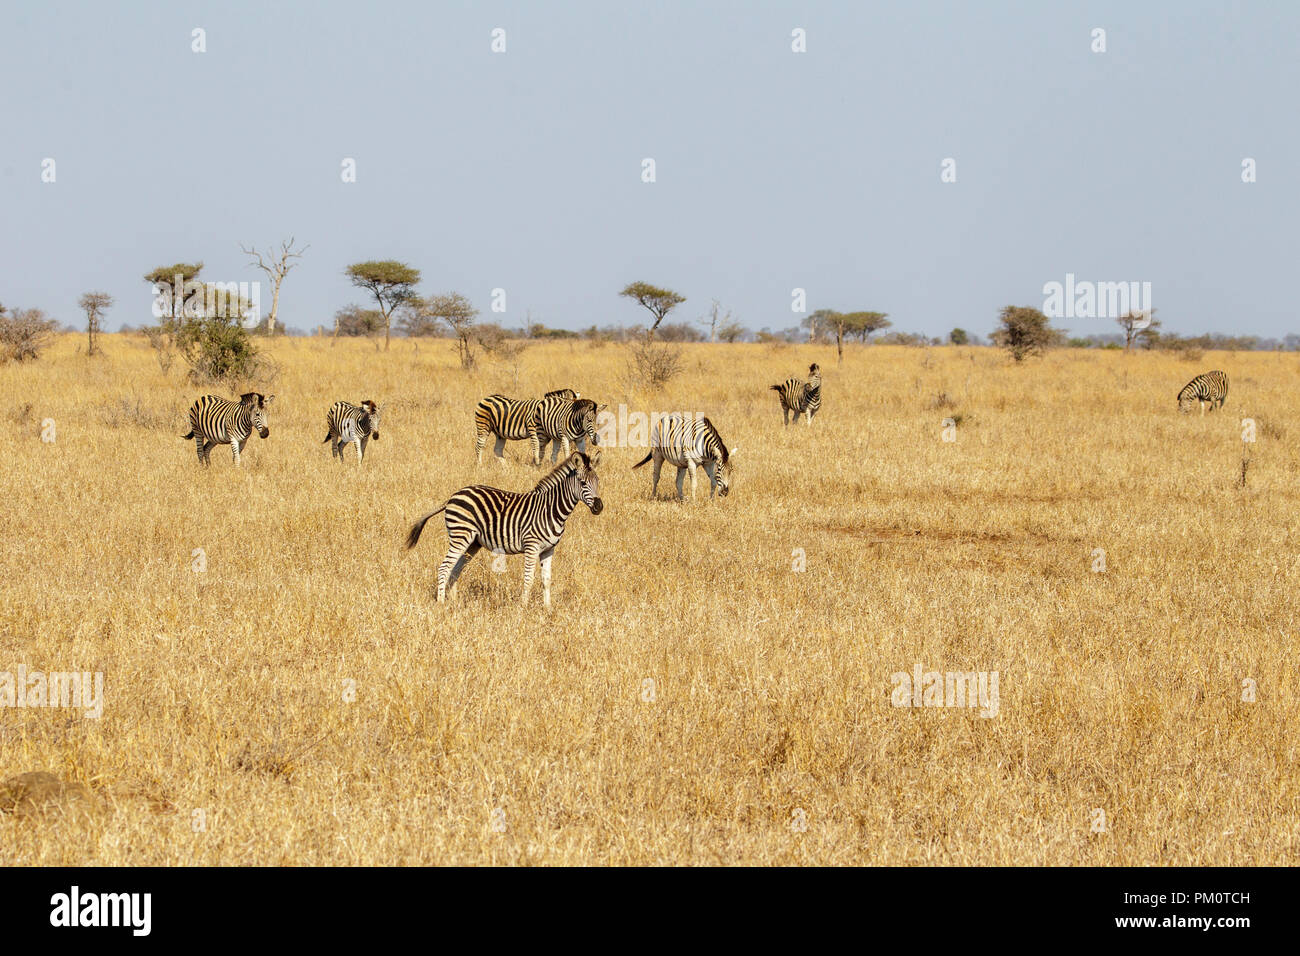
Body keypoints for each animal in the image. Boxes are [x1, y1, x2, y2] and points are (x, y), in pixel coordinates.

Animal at [405, 447, 603, 606]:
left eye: (598, 481)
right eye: (583, 483)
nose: (599, 507)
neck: (551, 509)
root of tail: (453, 496)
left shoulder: (549, 549)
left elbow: (546, 580)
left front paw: (548, 609)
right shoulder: (532, 546)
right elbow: (529, 579)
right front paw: (523, 608)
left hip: (472, 543)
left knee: (455, 569)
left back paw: (454, 603)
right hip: (460, 536)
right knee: (444, 567)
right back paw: (441, 604)